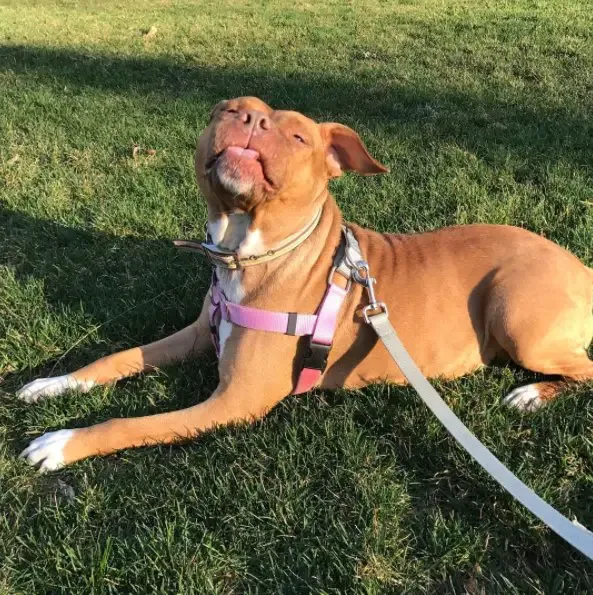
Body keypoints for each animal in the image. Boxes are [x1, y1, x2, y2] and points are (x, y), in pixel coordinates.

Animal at [17, 96, 592, 470]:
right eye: (228, 109)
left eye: (296, 136)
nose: (250, 118)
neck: (251, 254)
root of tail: (580, 266)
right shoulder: (202, 332)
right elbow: (114, 358)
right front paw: (53, 384)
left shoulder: (235, 402)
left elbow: (130, 423)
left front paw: (61, 443)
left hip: (516, 313)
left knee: (582, 369)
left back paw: (532, 395)